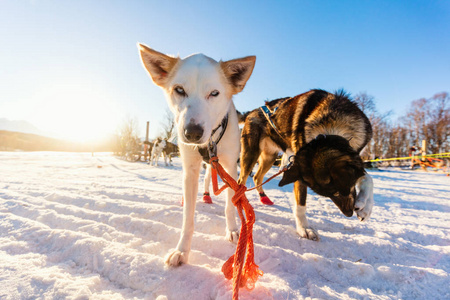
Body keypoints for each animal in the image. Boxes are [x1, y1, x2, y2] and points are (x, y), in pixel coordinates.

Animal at [137, 43, 256, 266]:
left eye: (215, 93)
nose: (192, 132)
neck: (210, 141)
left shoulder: (230, 167)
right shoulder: (191, 169)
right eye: (179, 90)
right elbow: (188, 219)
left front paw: (233, 230)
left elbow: (230, 203)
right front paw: (182, 250)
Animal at [239, 89, 372, 241]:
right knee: (240, 181)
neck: (332, 125)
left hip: (269, 157)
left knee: (257, 177)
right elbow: (300, 205)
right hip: (251, 154)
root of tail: (252, 112)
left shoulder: (355, 156)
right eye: (335, 193)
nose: (348, 213)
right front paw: (304, 228)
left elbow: (367, 178)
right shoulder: (300, 172)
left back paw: (264, 198)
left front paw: (365, 207)